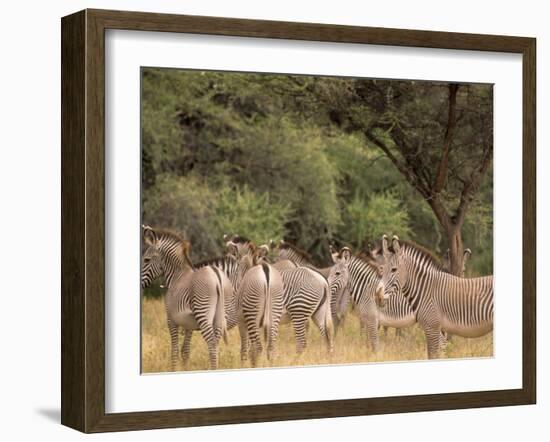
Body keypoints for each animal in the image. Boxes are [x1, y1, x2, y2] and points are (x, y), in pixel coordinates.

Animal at [141, 224, 234, 370]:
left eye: (146, 260)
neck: (177, 276)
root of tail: (216, 276)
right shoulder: (188, 324)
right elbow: (185, 350)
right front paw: (185, 369)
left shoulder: (171, 320)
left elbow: (174, 350)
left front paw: (173, 370)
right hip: (220, 316)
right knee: (216, 342)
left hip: (203, 313)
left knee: (212, 343)